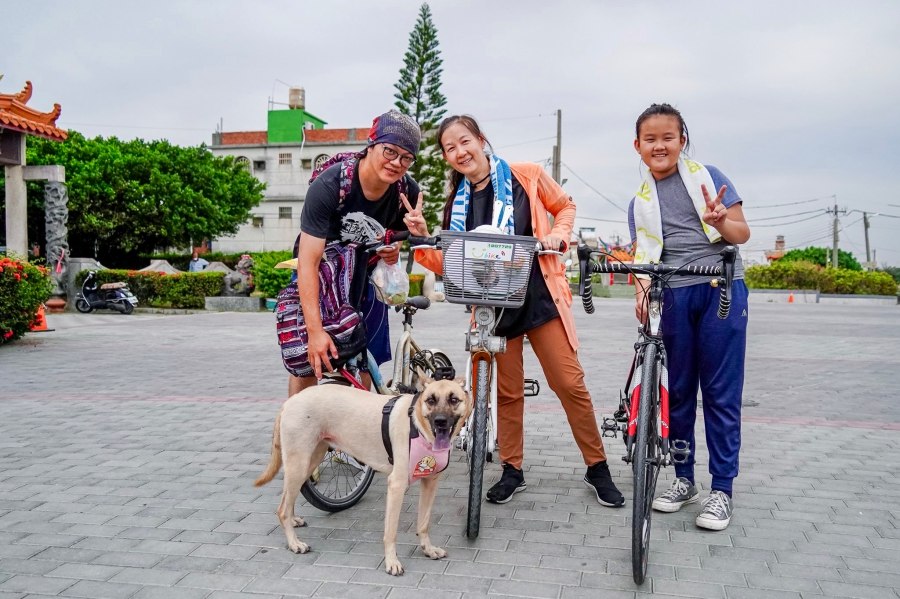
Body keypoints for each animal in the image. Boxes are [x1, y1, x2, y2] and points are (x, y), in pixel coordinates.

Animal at [250, 380, 468, 576]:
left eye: (454, 399)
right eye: (431, 400)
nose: (440, 421)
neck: (418, 425)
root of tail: (290, 400)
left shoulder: (430, 483)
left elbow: (423, 523)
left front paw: (428, 549)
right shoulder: (396, 485)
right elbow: (390, 532)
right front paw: (391, 562)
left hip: (309, 460)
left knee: (288, 497)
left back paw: (294, 519)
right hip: (299, 462)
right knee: (282, 509)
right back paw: (294, 542)